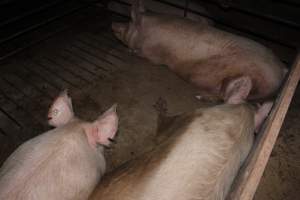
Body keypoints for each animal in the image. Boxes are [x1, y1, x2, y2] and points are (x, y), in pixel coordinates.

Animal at [88, 69, 272, 200]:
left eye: (221, 100)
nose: (200, 96)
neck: (242, 125)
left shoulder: (188, 117)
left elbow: (164, 127)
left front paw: (160, 104)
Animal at [112, 0, 286, 101]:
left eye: (128, 23)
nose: (114, 25)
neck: (145, 31)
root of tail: (280, 71)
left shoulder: (153, 53)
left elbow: (145, 56)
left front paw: (130, 52)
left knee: (225, 94)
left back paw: (199, 96)